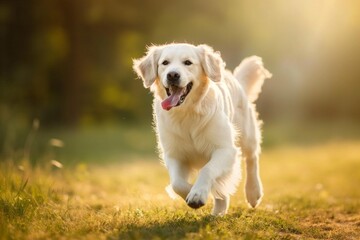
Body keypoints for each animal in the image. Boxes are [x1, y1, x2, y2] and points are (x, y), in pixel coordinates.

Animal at [134, 43, 272, 216]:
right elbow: (176, 183)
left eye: (187, 62)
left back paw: (253, 192)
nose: (172, 75)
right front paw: (191, 192)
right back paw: (218, 211)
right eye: (165, 63)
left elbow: (208, 170)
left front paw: (198, 193)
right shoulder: (174, 154)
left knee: (252, 159)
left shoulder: (226, 149)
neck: (187, 113)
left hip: (247, 134)